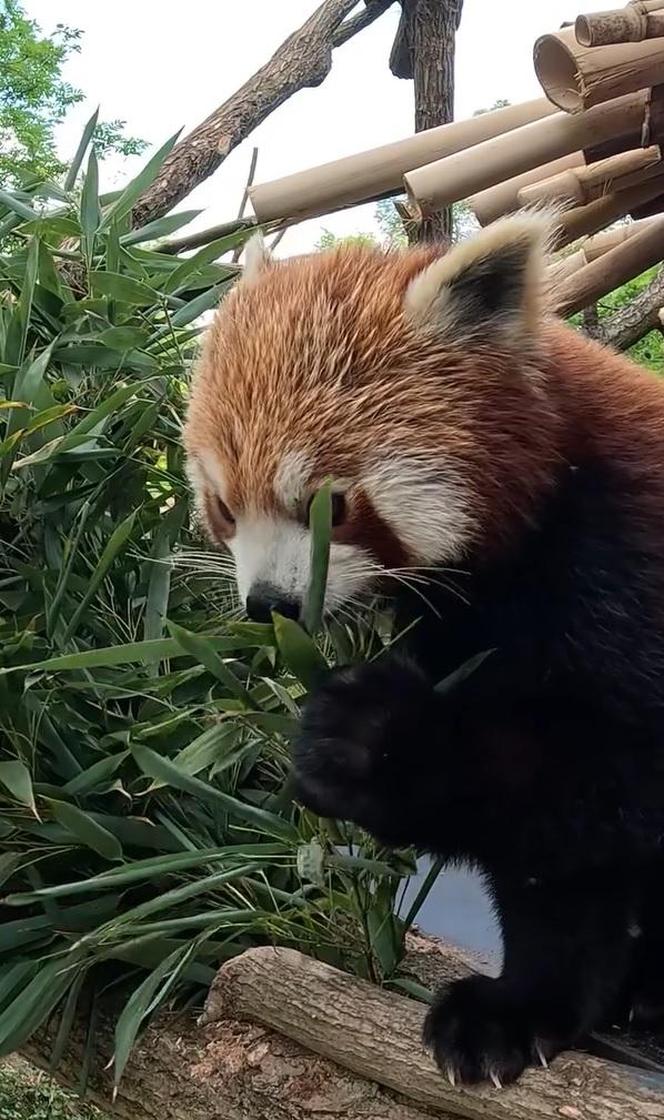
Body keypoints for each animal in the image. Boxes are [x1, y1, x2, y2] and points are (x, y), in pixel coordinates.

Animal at [182, 213, 664, 1088]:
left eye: (331, 508)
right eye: (225, 508)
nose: (271, 605)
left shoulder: (625, 569)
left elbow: (587, 805)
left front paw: (371, 739)